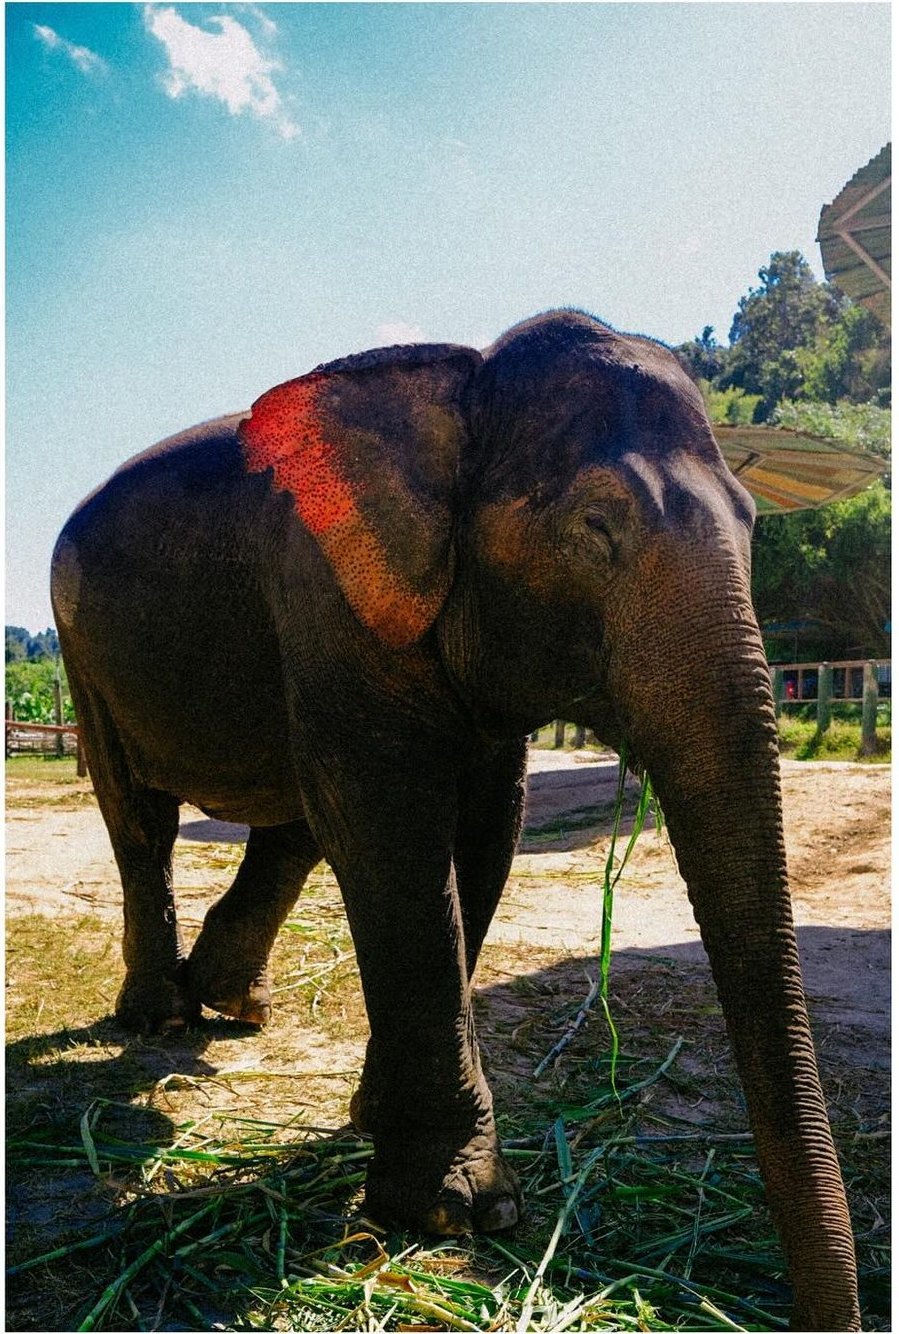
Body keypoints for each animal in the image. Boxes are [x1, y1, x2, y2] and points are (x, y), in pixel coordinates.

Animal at [50, 310, 859, 1330]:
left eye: (756, 524)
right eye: (593, 526)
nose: (830, 1311)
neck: (460, 379)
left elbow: (482, 833)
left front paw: (379, 1131)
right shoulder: (327, 592)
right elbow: (394, 828)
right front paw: (455, 1211)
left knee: (293, 817)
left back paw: (233, 1005)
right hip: (80, 646)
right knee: (142, 818)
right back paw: (160, 1018)